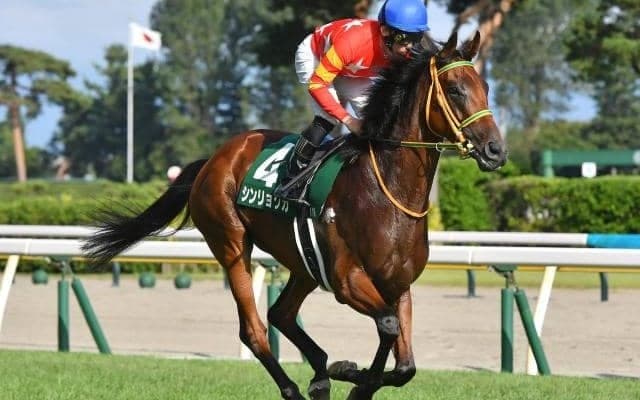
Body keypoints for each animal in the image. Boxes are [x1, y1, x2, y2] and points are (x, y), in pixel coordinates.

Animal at [82, 31, 507, 400]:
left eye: (486, 87)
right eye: (455, 89)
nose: (495, 150)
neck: (385, 188)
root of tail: (215, 158)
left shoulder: (397, 285)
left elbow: (406, 365)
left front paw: (351, 377)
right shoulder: (348, 280)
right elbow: (386, 327)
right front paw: (352, 376)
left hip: (304, 262)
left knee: (281, 313)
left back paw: (319, 374)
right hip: (231, 244)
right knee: (254, 329)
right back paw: (299, 385)